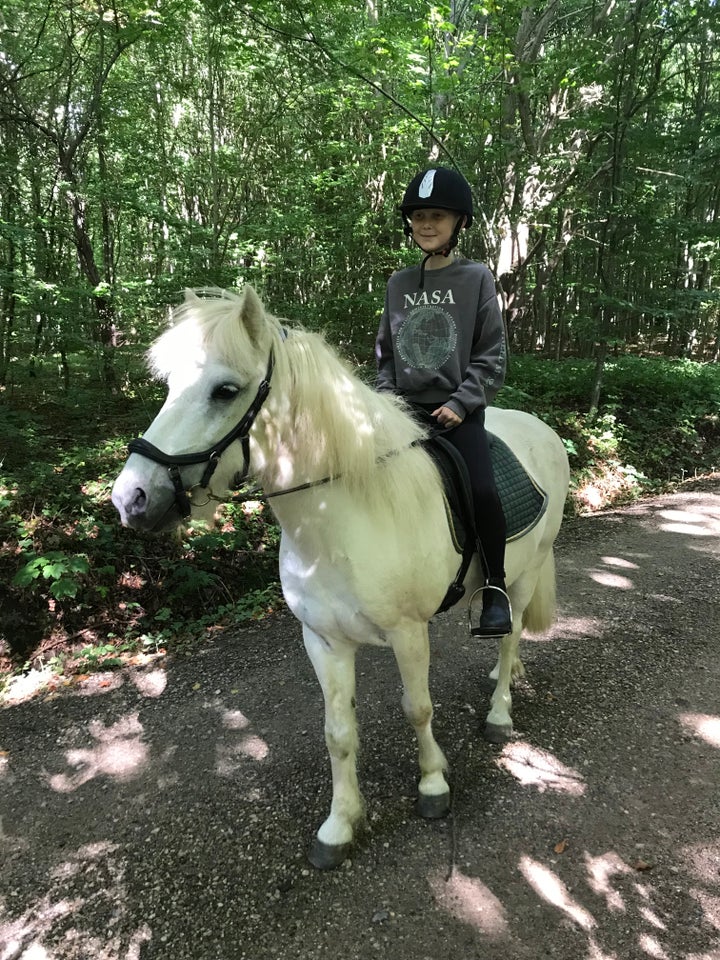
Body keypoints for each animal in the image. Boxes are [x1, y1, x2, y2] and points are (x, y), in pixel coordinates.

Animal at [112, 286, 572, 872]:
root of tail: (542, 430)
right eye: (170, 385)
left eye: (225, 390)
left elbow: (417, 708)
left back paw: (499, 711)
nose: (130, 499)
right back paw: (499, 678)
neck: (342, 519)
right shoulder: (323, 642)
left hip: (523, 576)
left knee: (509, 634)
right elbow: (337, 734)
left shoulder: (408, 633)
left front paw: (433, 785)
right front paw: (339, 824)